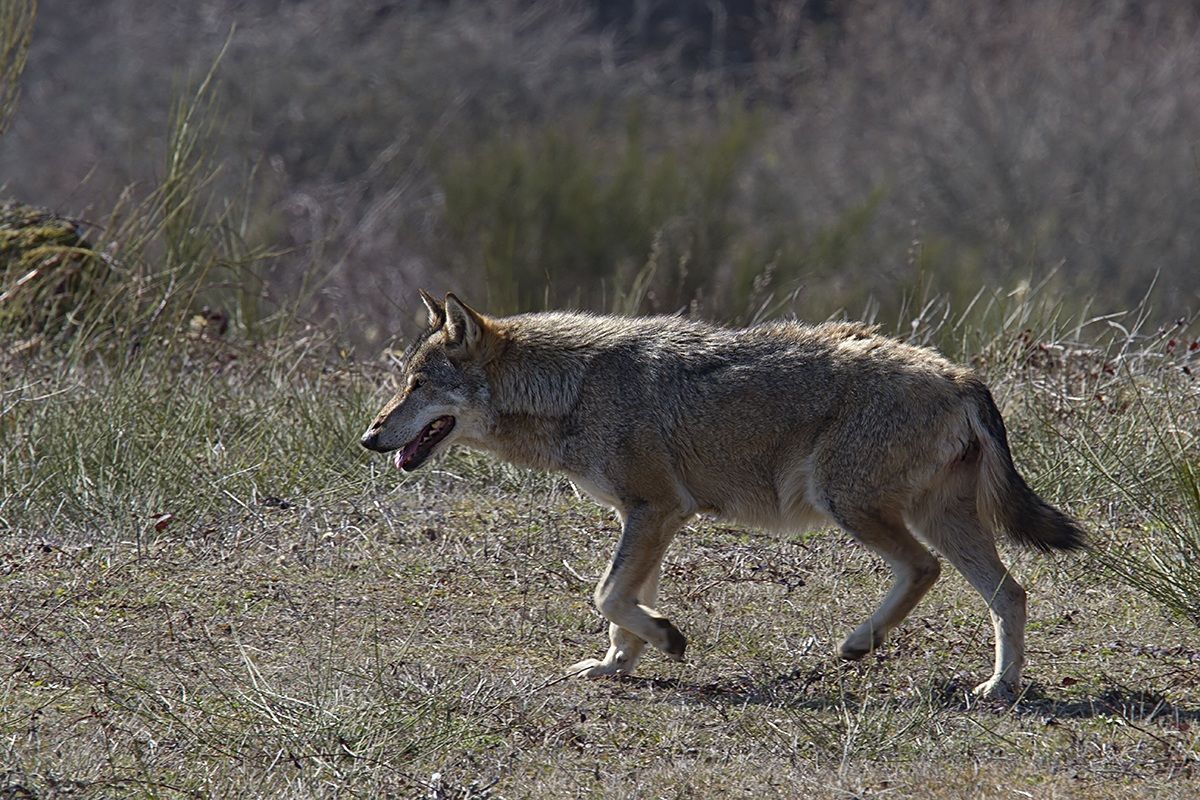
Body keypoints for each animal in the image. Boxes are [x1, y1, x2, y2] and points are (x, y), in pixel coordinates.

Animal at [360, 292, 1085, 700]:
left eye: (418, 385)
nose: (368, 436)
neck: (575, 389)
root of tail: (961, 374)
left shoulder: (657, 510)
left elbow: (607, 595)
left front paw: (667, 639)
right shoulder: (648, 518)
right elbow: (622, 603)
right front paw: (617, 664)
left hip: (853, 506)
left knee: (926, 570)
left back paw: (859, 644)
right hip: (938, 519)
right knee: (1011, 593)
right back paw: (999, 687)